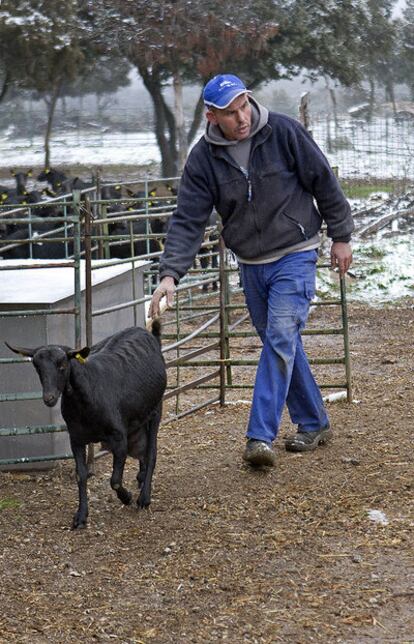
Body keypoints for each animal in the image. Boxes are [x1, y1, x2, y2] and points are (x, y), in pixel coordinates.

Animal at [5, 322, 167, 528]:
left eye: (62, 365)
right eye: (36, 367)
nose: (49, 398)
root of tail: (147, 332)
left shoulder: (119, 436)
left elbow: (115, 480)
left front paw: (127, 497)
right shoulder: (76, 438)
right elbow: (81, 475)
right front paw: (81, 516)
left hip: (156, 409)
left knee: (151, 452)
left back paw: (144, 498)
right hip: (136, 419)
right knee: (142, 449)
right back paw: (140, 478)